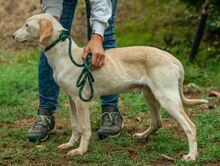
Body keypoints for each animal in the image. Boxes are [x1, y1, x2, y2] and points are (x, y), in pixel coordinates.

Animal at [13, 13, 208, 161]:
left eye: (27, 25)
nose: (12, 36)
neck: (65, 56)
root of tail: (173, 58)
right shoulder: (71, 100)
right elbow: (75, 126)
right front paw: (70, 144)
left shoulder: (81, 100)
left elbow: (84, 128)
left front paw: (81, 150)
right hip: (150, 95)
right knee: (157, 122)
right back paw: (142, 136)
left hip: (167, 98)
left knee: (190, 127)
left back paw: (191, 156)